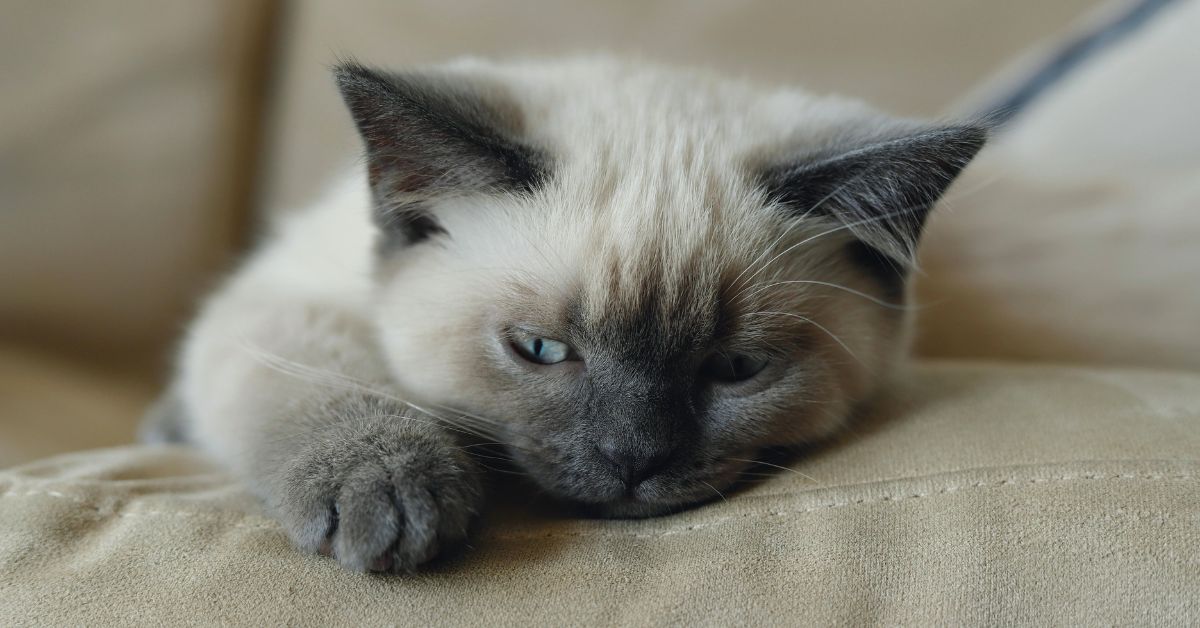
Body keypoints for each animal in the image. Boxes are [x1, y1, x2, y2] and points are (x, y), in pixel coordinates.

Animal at [147, 56, 984, 571]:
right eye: (540, 350)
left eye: (737, 368)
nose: (634, 460)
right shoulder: (283, 297)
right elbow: (333, 381)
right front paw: (391, 498)